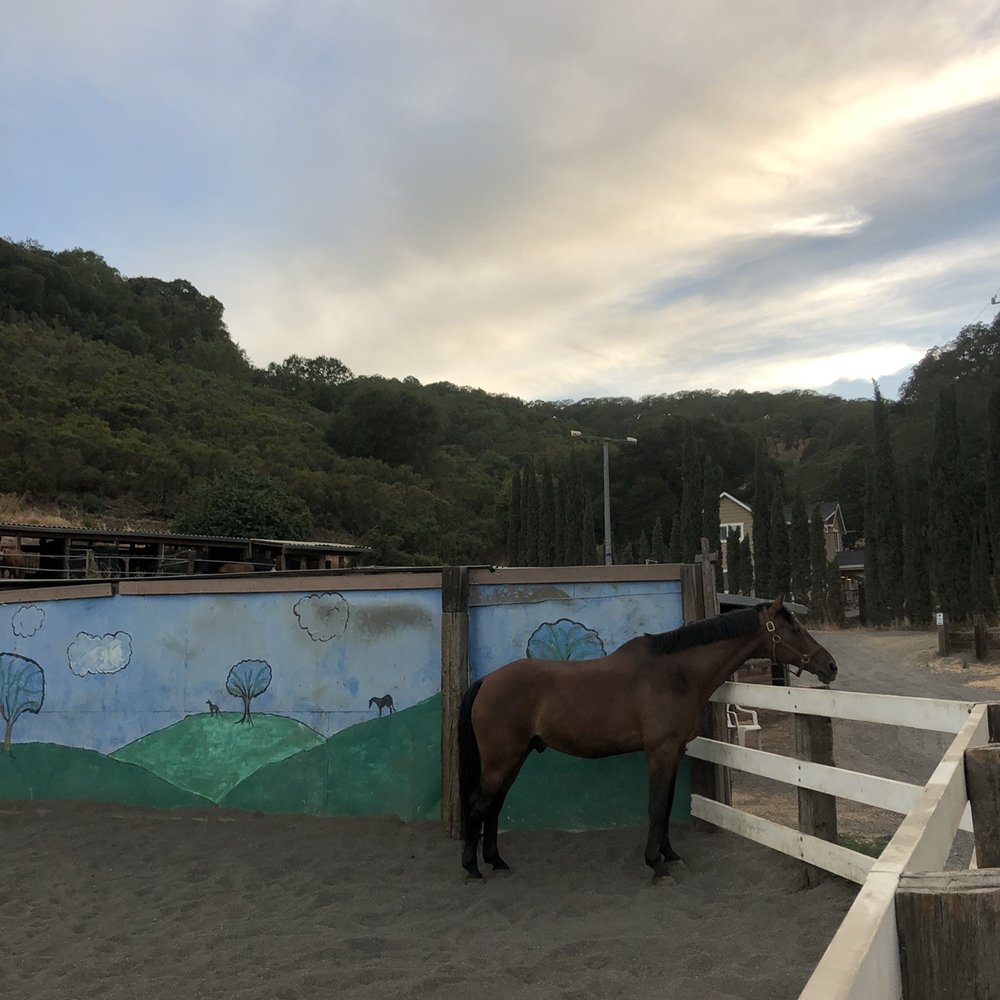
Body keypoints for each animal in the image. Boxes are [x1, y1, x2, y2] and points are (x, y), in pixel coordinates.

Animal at [458, 596, 837, 882]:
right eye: (794, 628)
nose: (830, 666)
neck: (674, 674)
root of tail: (487, 681)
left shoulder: (675, 752)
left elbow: (666, 806)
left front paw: (670, 855)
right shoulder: (660, 752)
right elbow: (656, 807)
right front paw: (656, 865)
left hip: (514, 759)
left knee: (494, 806)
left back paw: (497, 862)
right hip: (501, 761)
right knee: (478, 805)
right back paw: (473, 869)